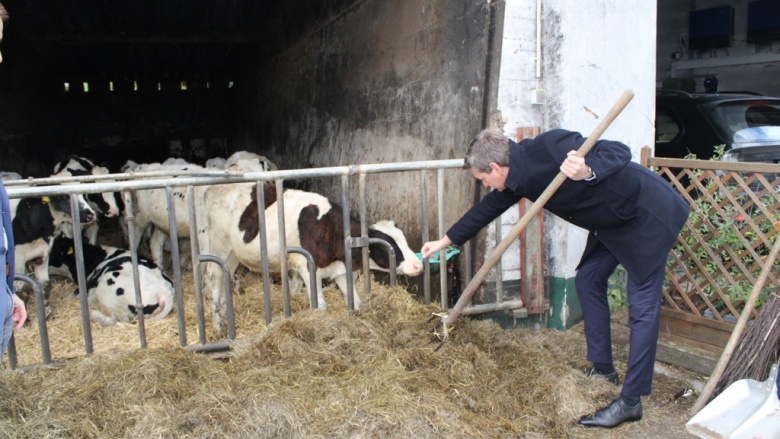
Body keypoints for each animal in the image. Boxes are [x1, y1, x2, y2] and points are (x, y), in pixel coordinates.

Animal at [198, 181, 424, 336]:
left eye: (403, 239)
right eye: (387, 247)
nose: (418, 264)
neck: (331, 230)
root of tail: (215, 188)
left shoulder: (340, 271)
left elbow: (355, 301)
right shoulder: (308, 268)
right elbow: (321, 307)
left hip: (233, 255)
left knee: (224, 279)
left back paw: (226, 320)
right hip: (218, 246)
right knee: (214, 281)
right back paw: (218, 328)